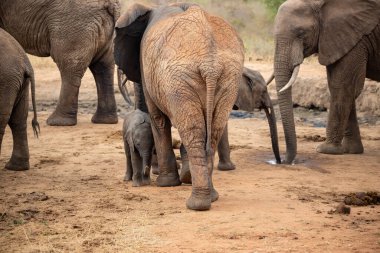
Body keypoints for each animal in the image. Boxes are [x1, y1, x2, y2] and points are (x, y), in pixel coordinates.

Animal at [114, 2, 243, 211]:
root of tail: (210, 65)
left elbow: (158, 119)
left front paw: (165, 183)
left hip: (180, 81)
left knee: (193, 132)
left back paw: (196, 204)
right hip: (228, 79)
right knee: (211, 132)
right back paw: (210, 196)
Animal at [274, 0, 380, 164]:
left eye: (301, 33)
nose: (283, 161)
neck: (319, 4)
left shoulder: (356, 37)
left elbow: (342, 87)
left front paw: (326, 150)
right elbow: (345, 88)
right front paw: (351, 151)